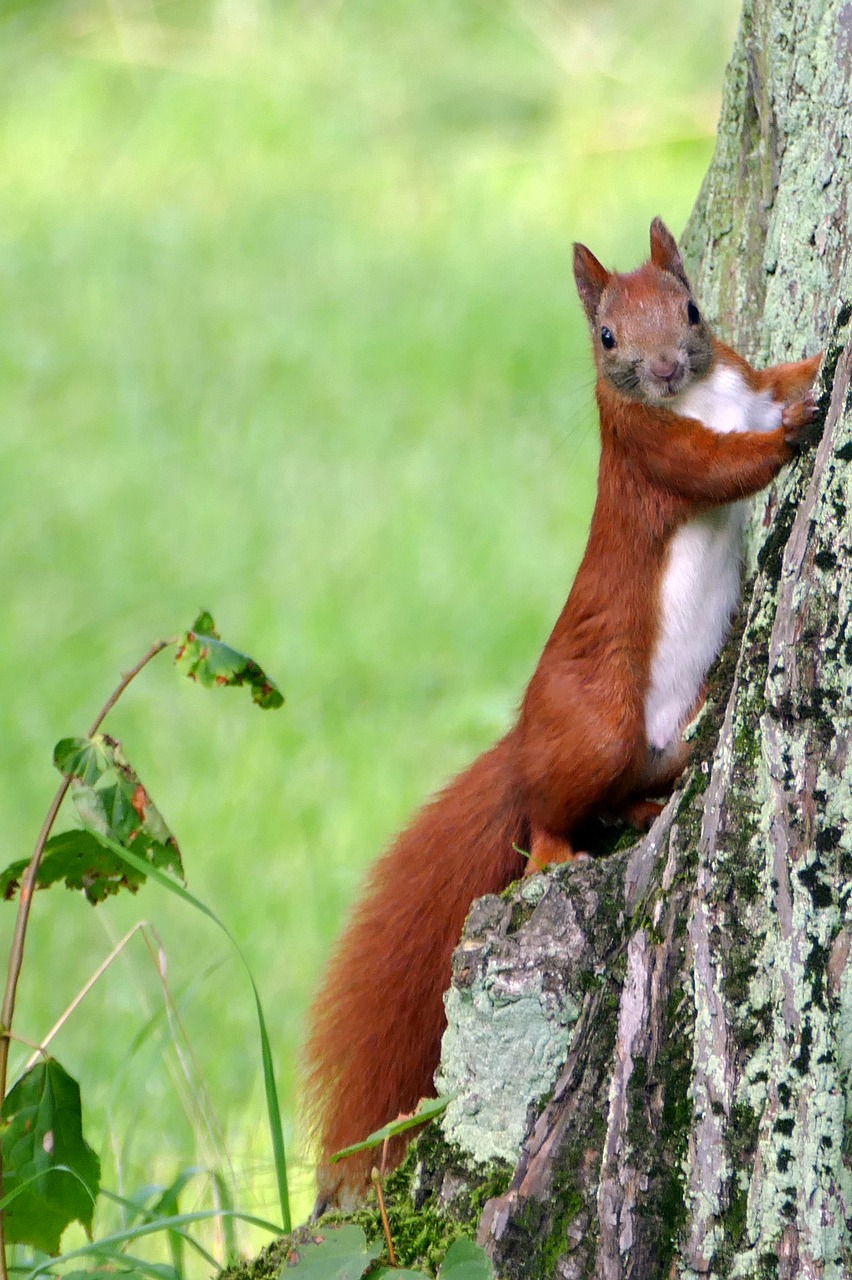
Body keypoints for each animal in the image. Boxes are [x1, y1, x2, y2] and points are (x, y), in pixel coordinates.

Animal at [301, 215, 818, 1203]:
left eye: (692, 309)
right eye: (607, 337)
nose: (664, 370)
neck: (702, 394)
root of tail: (523, 745)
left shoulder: (742, 377)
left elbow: (778, 378)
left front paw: (817, 371)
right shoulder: (654, 452)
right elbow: (722, 469)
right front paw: (796, 435)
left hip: (646, 740)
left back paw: (654, 800)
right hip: (598, 724)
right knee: (551, 815)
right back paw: (555, 851)